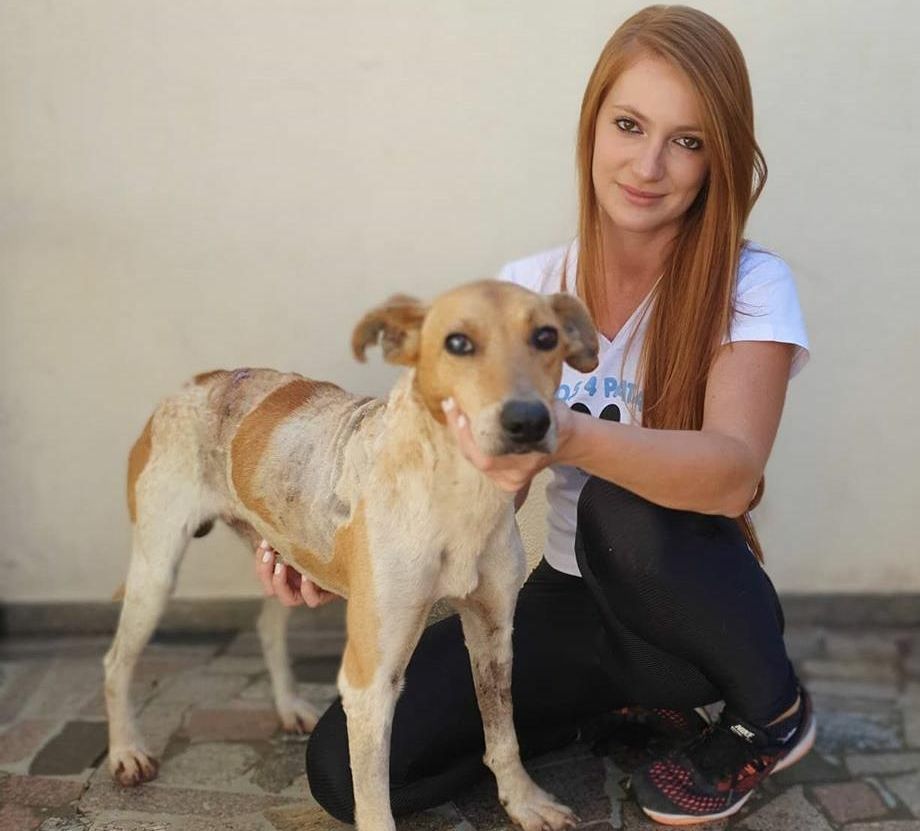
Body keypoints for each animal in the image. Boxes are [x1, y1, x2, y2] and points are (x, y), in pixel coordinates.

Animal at [104, 279, 598, 830]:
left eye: (546, 337)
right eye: (457, 343)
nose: (527, 421)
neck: (456, 496)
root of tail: (196, 381)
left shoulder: (492, 632)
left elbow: (503, 732)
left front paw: (522, 801)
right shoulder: (369, 679)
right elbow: (373, 799)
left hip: (287, 551)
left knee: (268, 625)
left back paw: (289, 706)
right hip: (156, 569)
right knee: (115, 661)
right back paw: (126, 751)